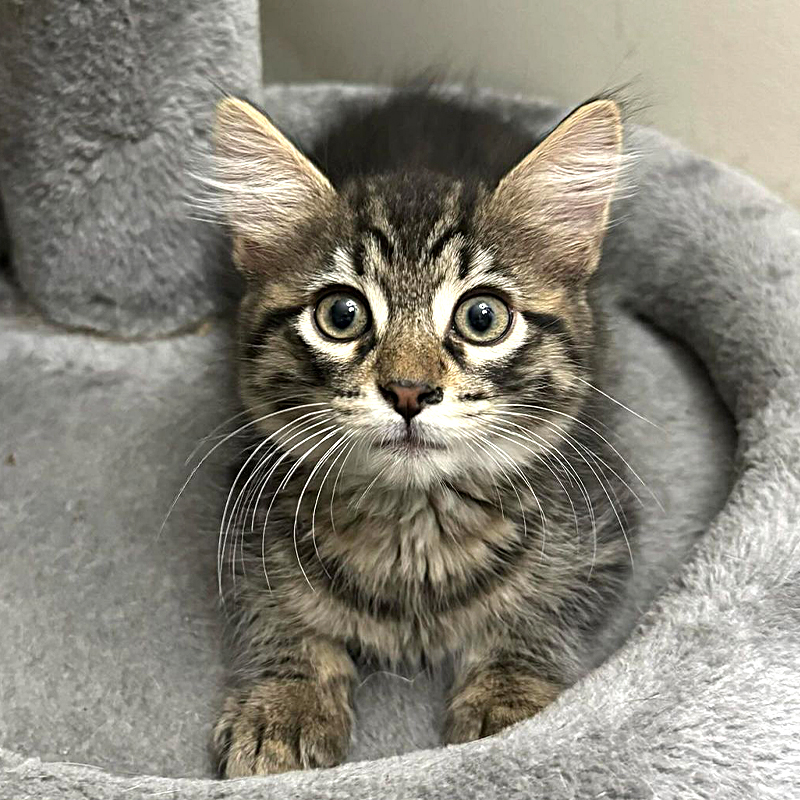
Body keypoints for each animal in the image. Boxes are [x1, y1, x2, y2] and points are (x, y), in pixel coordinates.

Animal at [208, 86, 636, 776]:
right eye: (341, 315)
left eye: (482, 317)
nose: (409, 391)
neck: (414, 520)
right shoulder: (247, 514)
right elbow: (283, 616)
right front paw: (286, 706)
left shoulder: (599, 532)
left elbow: (539, 614)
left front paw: (510, 705)